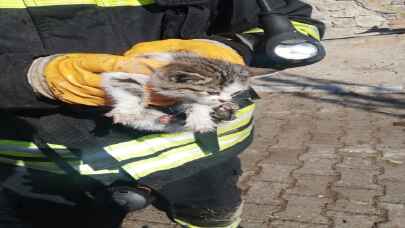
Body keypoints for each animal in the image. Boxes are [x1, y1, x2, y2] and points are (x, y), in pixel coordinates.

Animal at [100, 52, 274, 133]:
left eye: (234, 93)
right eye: (212, 91)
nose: (224, 101)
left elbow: (195, 104)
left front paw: (201, 118)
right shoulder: (122, 72)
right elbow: (130, 87)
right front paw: (126, 112)